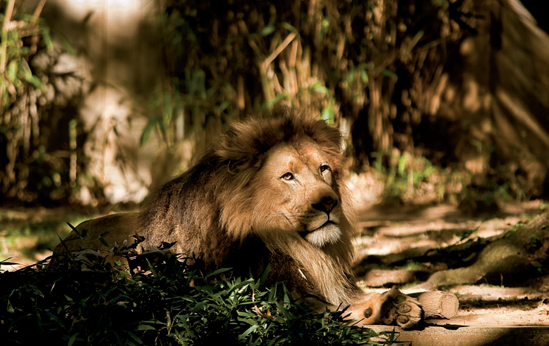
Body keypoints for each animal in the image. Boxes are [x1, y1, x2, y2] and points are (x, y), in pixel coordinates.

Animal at [52, 107, 424, 328]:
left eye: (324, 169)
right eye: (288, 177)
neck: (296, 246)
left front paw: (400, 305)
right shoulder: (269, 300)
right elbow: (330, 311)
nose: (329, 203)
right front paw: (386, 308)